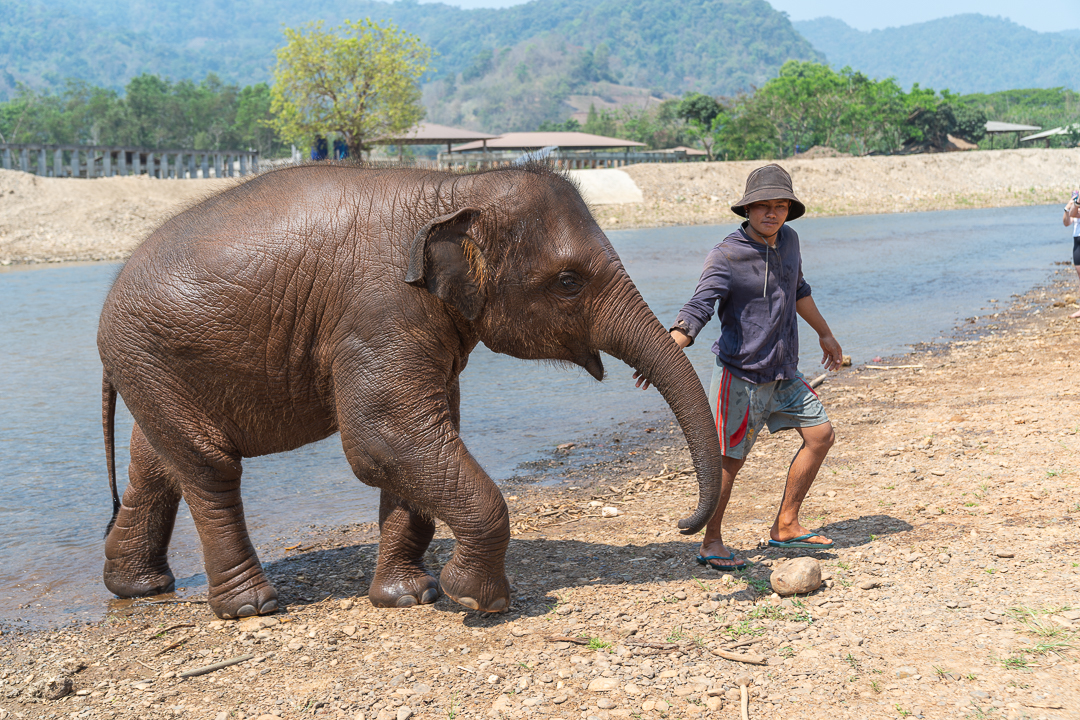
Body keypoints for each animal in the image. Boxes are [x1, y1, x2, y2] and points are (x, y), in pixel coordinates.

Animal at [97, 162, 725, 620]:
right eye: (569, 282)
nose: (683, 524)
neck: (451, 189)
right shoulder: (381, 313)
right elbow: (382, 437)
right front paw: (477, 600)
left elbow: (411, 443)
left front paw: (410, 597)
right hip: (148, 354)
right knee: (210, 467)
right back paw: (252, 608)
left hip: (153, 367)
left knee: (157, 461)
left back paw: (138, 587)